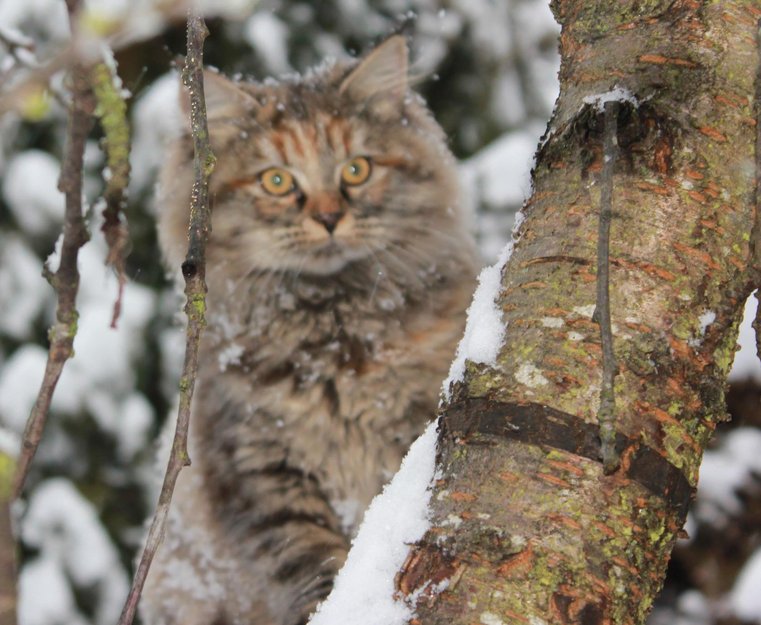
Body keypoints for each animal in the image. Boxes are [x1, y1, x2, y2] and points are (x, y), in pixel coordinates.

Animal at [140, 36, 477, 625]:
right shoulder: (260, 470)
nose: (327, 217)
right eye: (276, 180)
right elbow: (315, 561)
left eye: (357, 170)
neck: (336, 333)